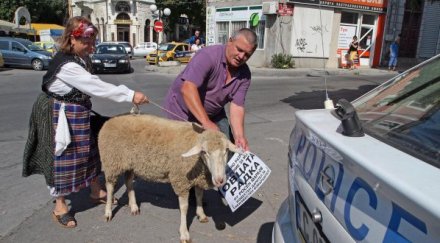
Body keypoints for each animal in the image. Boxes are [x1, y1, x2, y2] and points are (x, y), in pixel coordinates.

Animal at [98, 114, 241, 243]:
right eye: (204, 152)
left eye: (226, 150)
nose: (220, 180)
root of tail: (110, 120)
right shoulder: (181, 180)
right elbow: (184, 207)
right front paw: (184, 233)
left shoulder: (197, 178)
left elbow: (199, 196)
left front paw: (201, 215)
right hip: (112, 161)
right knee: (110, 186)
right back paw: (108, 212)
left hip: (130, 164)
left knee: (128, 182)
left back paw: (133, 207)